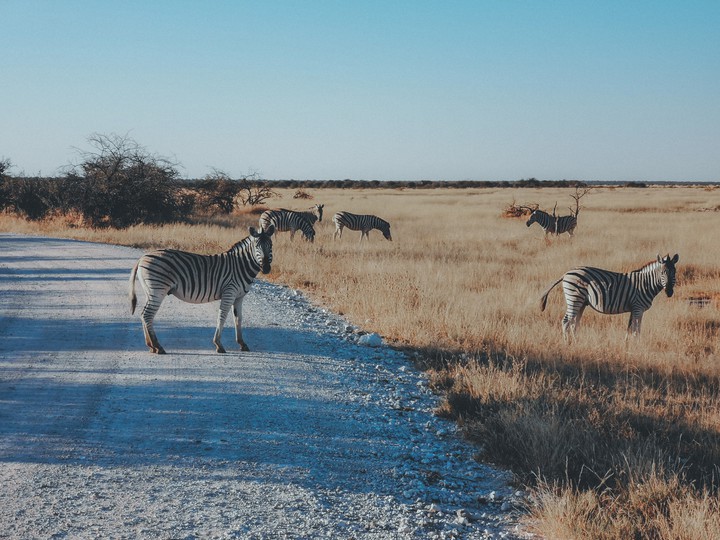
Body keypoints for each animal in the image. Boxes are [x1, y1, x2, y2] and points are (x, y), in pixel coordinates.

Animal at [129, 225, 275, 354]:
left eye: (271, 246)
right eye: (256, 246)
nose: (266, 268)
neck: (241, 265)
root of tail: (142, 258)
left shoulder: (239, 296)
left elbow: (238, 319)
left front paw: (242, 344)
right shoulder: (229, 292)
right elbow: (222, 317)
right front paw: (218, 344)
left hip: (150, 291)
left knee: (144, 315)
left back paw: (151, 346)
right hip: (158, 290)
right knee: (147, 315)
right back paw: (158, 347)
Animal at [540, 254, 679, 340]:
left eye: (674, 272)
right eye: (662, 272)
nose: (669, 292)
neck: (646, 283)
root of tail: (566, 273)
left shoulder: (634, 308)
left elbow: (630, 329)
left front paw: (626, 346)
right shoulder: (638, 308)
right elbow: (636, 330)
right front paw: (636, 347)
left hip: (581, 302)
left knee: (574, 323)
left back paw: (575, 342)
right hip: (574, 299)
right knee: (566, 322)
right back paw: (567, 343)